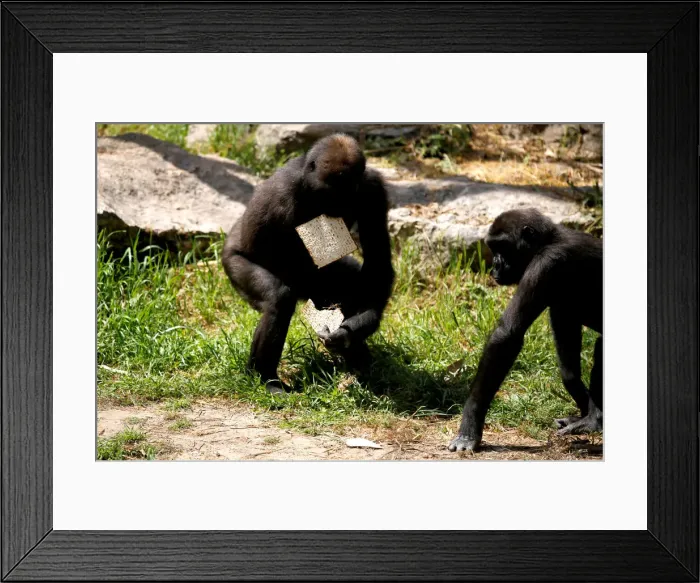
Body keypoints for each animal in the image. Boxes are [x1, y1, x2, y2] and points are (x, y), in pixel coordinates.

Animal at [222, 134, 394, 394]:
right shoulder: (281, 194)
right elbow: (269, 250)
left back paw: (359, 362)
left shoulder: (373, 188)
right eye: (329, 194)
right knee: (279, 299)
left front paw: (355, 329)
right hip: (232, 263)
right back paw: (266, 377)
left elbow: (377, 259)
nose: (337, 209)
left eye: (347, 194)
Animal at [448, 208, 602, 452]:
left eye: (502, 247)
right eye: (493, 248)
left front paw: (470, 426)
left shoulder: (548, 264)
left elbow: (507, 336)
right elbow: (565, 332)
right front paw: (580, 397)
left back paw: (594, 421)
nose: (495, 265)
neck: (548, 241)